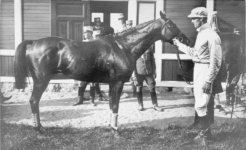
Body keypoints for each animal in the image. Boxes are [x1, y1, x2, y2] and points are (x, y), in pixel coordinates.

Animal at [14, 11, 189, 132]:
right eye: (172, 25)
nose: (185, 40)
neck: (123, 46)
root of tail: (33, 43)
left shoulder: (112, 83)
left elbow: (112, 105)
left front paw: (111, 127)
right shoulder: (117, 83)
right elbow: (115, 106)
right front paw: (116, 131)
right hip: (41, 80)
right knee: (34, 101)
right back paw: (39, 129)